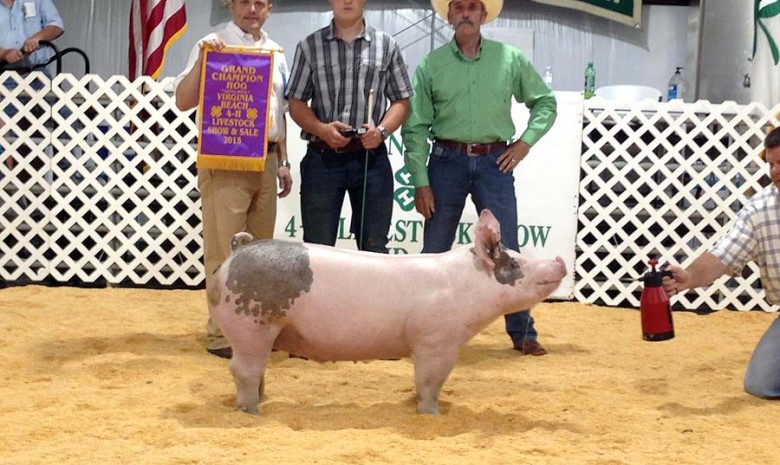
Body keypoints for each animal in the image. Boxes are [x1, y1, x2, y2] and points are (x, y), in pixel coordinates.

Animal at [209, 209, 568, 414]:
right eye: (516, 264)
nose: (560, 260)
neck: (463, 286)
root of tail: (237, 251)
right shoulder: (436, 340)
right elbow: (430, 381)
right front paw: (431, 413)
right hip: (250, 326)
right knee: (242, 370)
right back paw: (251, 411)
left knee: (256, 371)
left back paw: (260, 402)